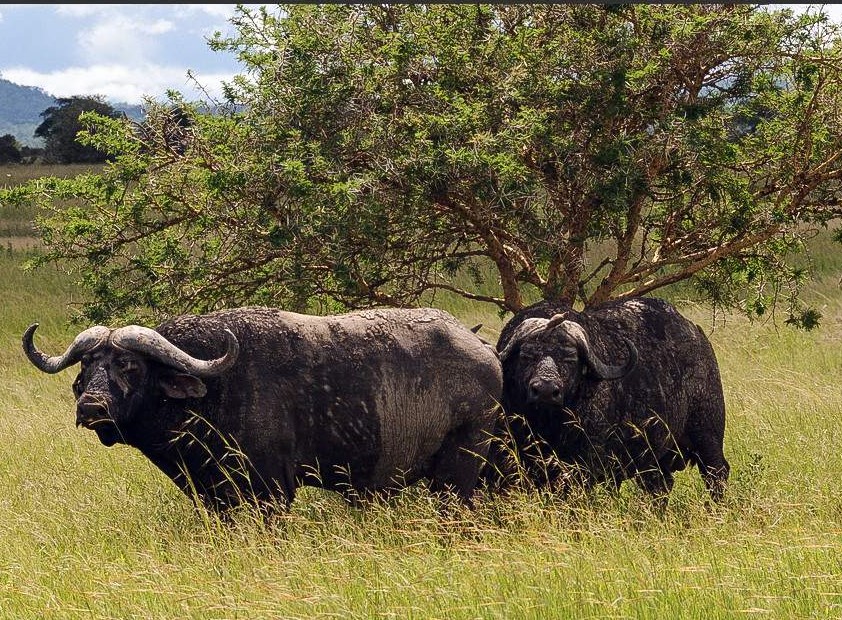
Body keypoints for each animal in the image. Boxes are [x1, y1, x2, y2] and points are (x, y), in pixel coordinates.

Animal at [23, 306, 502, 512]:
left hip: (457, 471)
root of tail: (483, 348)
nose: (91, 407)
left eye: (130, 366)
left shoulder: (271, 489)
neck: (214, 393)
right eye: (88, 366)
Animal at [486, 296, 728, 504]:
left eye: (570, 358)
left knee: (717, 473)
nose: (545, 390)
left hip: (707, 436)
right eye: (526, 356)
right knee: (660, 486)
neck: (546, 426)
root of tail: (699, 338)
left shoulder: (582, 466)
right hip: (655, 461)